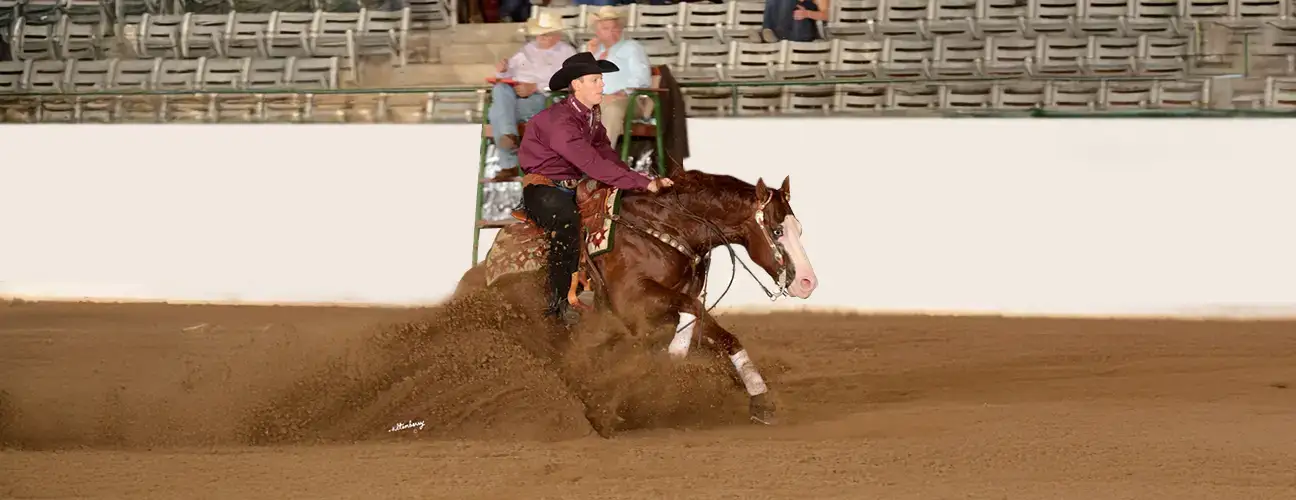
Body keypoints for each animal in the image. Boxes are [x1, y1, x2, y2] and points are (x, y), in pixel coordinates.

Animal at [454, 166, 818, 435]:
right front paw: (673, 358)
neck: (664, 228)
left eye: (799, 228)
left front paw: (760, 400)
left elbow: (720, 334)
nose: (807, 282)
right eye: (776, 230)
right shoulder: (635, 303)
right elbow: (696, 314)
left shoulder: (665, 307)